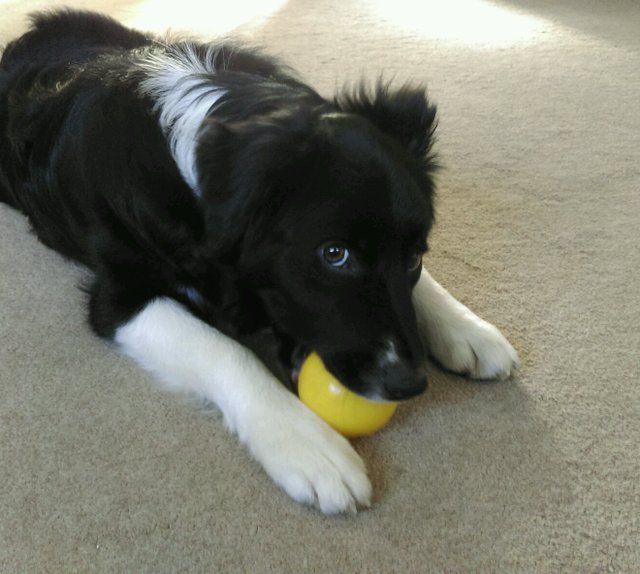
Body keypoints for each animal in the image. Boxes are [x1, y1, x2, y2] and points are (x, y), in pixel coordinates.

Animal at [0, 10, 519, 514]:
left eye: (414, 255)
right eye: (334, 255)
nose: (409, 384)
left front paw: (468, 329)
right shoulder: (122, 296)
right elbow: (225, 351)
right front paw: (308, 444)